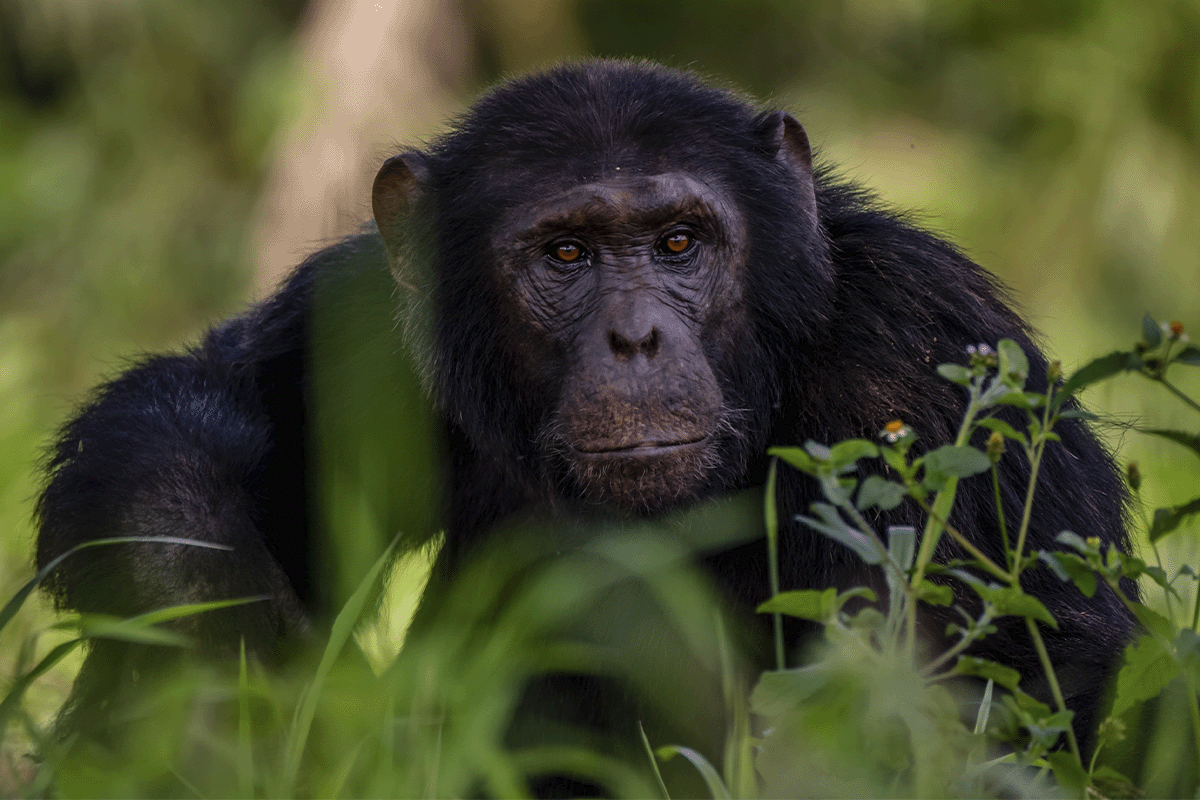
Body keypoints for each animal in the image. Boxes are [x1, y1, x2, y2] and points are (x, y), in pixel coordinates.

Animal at [32, 61, 1128, 762]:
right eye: (565, 253)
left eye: (680, 241)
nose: (635, 335)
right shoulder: (368, 318)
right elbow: (204, 410)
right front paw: (220, 636)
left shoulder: (918, 357)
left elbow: (964, 670)